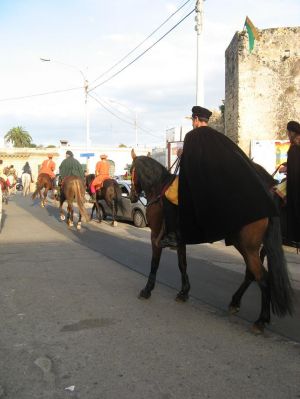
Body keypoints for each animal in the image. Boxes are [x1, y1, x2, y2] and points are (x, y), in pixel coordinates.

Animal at [129, 150, 292, 334]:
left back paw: (260, 321)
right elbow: (182, 265)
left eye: (131, 171)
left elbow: (154, 264)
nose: (132, 195)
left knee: (263, 278)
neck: (159, 187)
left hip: (248, 247)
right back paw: (236, 303)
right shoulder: (180, 241)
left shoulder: (155, 236)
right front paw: (184, 292)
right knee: (252, 274)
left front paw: (147, 290)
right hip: (245, 246)